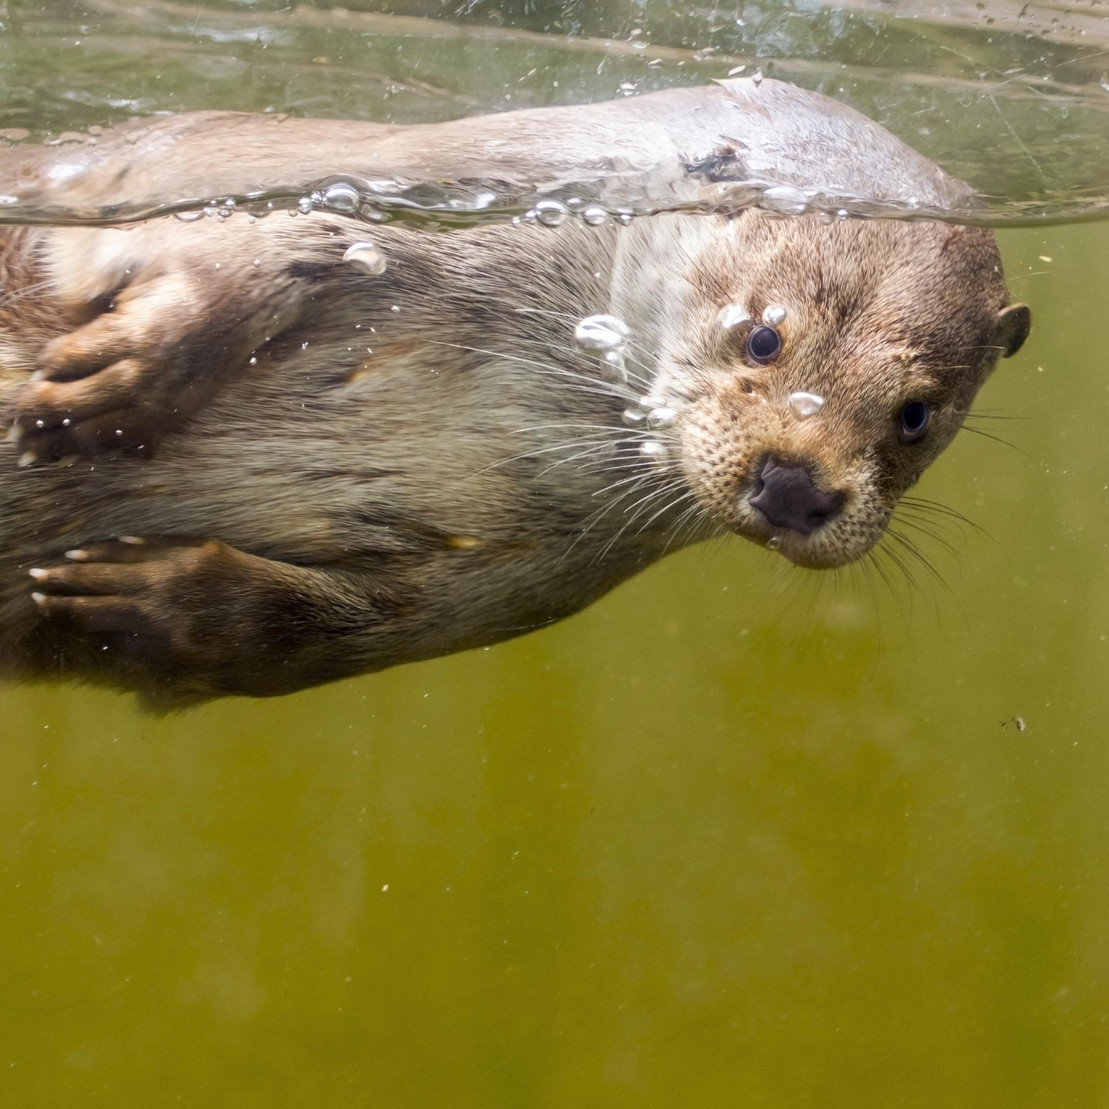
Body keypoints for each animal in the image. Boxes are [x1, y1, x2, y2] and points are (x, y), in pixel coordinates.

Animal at [0, 78, 1024, 705]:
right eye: (763, 334)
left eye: (915, 414)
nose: (796, 485)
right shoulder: (347, 186)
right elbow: (251, 247)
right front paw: (115, 380)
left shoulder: (542, 575)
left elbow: (345, 631)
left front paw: (144, 601)